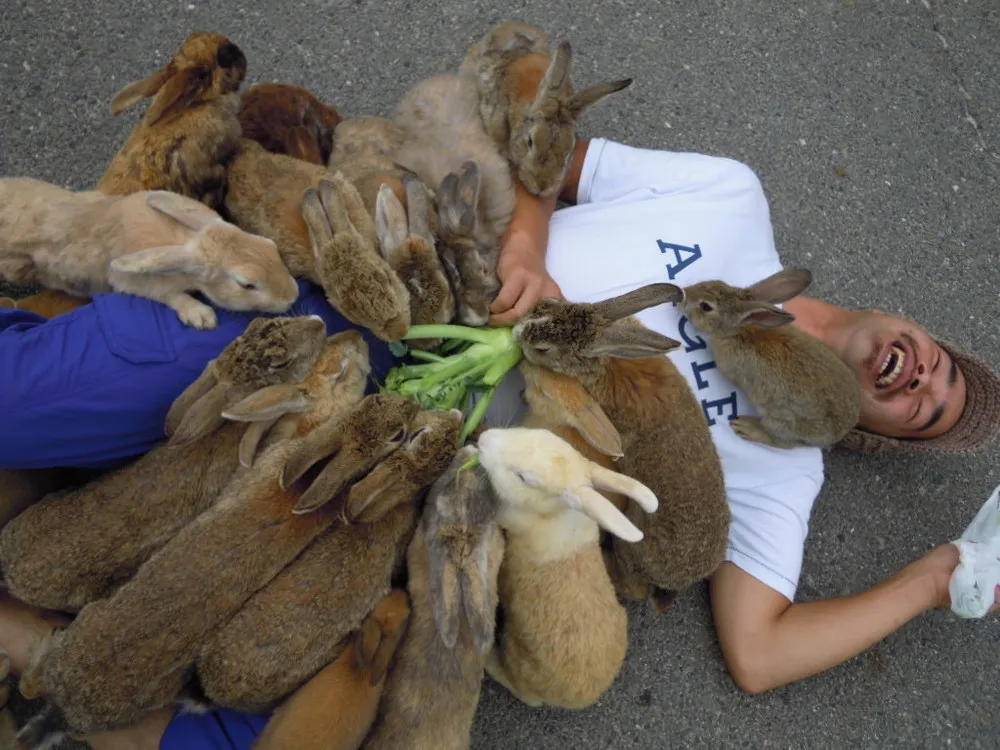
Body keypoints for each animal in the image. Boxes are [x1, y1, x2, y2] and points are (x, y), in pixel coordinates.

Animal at [0, 178, 298, 329]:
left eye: (270, 245)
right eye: (247, 284)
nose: (292, 296)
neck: (183, 239)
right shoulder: (136, 283)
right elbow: (169, 295)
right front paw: (201, 317)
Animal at [512, 283, 730, 606]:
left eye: (542, 349)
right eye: (545, 303)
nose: (516, 333)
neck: (605, 361)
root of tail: (682, 579)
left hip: (631, 547)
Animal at [668, 268, 862, 448]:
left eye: (706, 306)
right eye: (716, 282)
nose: (683, 295)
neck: (739, 331)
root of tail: (840, 433)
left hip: (780, 422)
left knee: (783, 443)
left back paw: (747, 427)